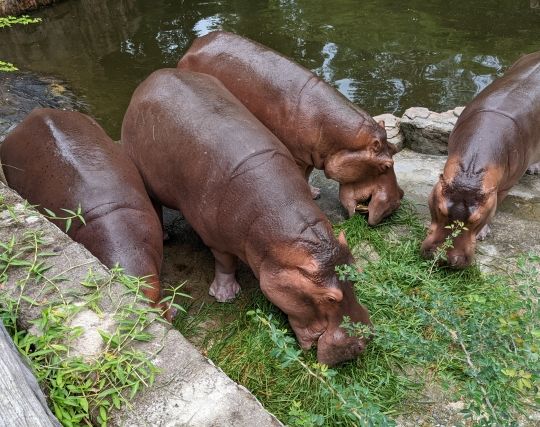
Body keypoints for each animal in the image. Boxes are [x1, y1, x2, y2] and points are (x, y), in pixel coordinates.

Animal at [120, 68, 370, 366]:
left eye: (357, 274)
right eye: (331, 298)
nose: (363, 343)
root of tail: (154, 76)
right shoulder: (215, 236)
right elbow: (224, 261)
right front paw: (225, 295)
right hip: (144, 172)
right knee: (154, 204)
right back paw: (165, 235)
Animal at [179, 30, 402, 224]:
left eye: (393, 149)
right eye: (386, 165)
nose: (399, 200)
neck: (339, 139)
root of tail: (196, 43)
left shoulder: (310, 156)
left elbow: (308, 175)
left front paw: (315, 193)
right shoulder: (297, 156)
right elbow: (301, 177)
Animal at [422, 51, 540, 268]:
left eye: (476, 219)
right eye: (440, 209)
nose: (444, 259)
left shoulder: (503, 187)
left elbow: (497, 203)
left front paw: (483, 233)